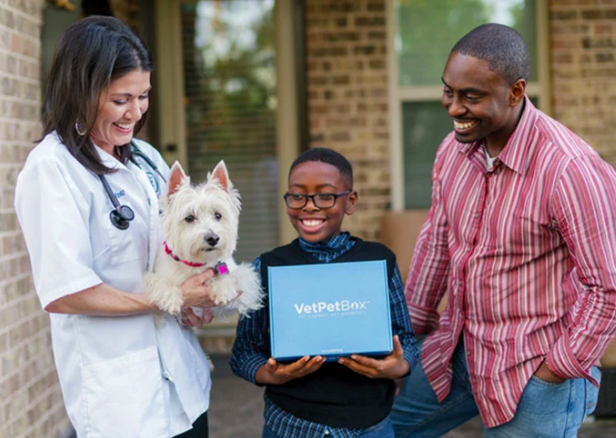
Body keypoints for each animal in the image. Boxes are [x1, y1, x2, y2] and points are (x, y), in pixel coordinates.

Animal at [146, 161, 262, 318]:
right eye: (189, 218)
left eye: (218, 215)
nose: (213, 238)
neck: (197, 263)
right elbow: (156, 280)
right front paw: (169, 296)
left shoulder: (245, 290)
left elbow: (238, 276)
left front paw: (222, 287)